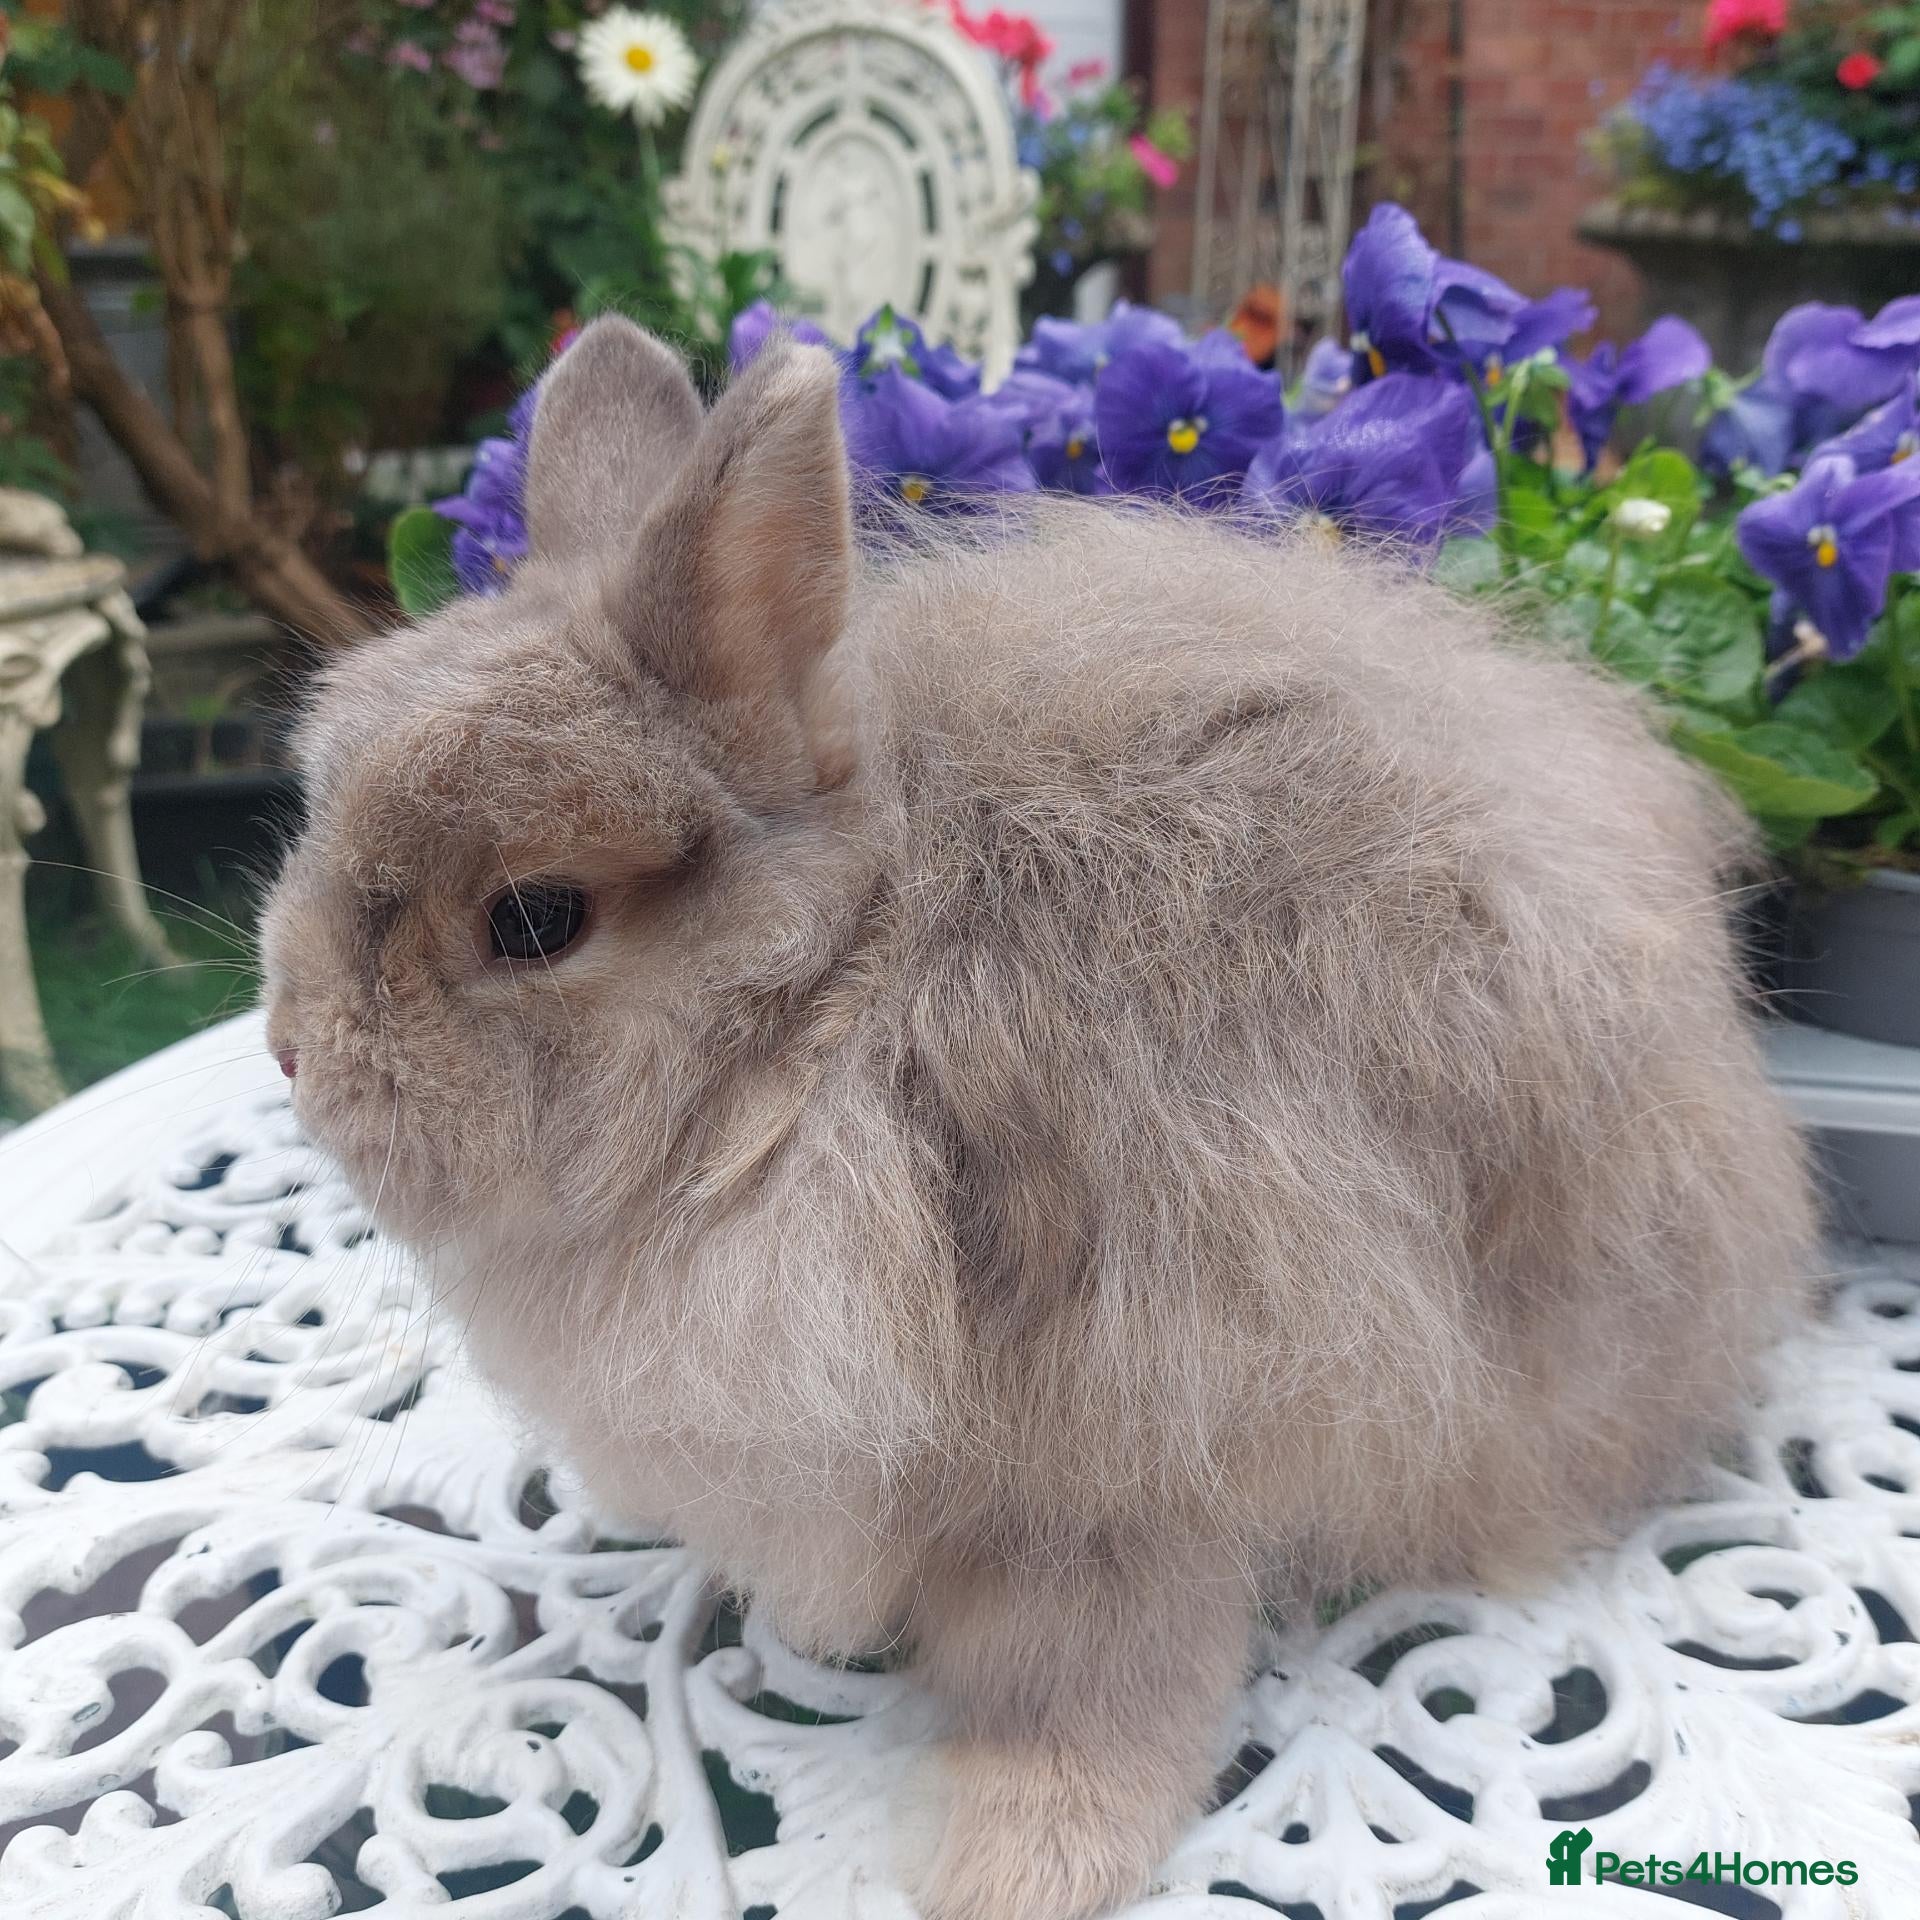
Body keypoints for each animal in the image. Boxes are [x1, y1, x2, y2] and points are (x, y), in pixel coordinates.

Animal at [261, 315, 1815, 1920]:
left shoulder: (1132, 1448)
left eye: (534, 919)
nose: (293, 1052)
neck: (828, 1024)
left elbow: (1096, 1685)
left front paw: (1022, 1866)